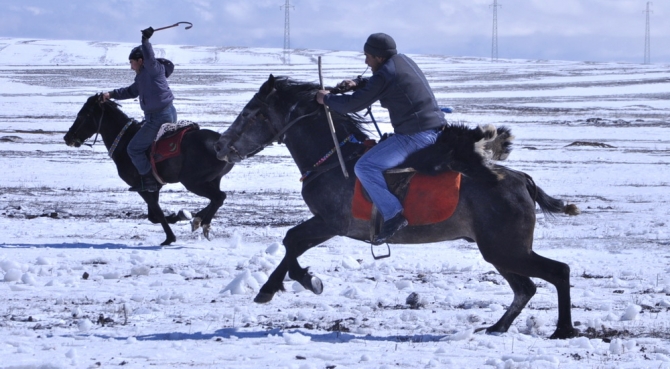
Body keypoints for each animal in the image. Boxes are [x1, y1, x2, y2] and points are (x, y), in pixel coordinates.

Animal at [65, 94, 234, 244]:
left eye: (84, 114)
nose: (67, 137)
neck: (124, 142)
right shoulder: (154, 187)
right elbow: (153, 216)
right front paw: (179, 216)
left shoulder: (142, 188)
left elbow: (157, 214)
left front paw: (169, 238)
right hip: (212, 180)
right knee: (216, 199)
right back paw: (198, 219)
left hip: (193, 182)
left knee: (219, 197)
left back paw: (202, 223)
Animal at [217, 75, 584, 340]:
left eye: (250, 112)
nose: (220, 145)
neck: (335, 159)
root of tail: (523, 179)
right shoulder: (327, 222)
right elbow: (291, 242)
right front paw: (284, 284)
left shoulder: (332, 222)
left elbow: (292, 241)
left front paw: (299, 283)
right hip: (500, 251)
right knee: (526, 287)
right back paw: (498, 327)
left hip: (505, 249)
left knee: (558, 272)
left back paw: (563, 330)